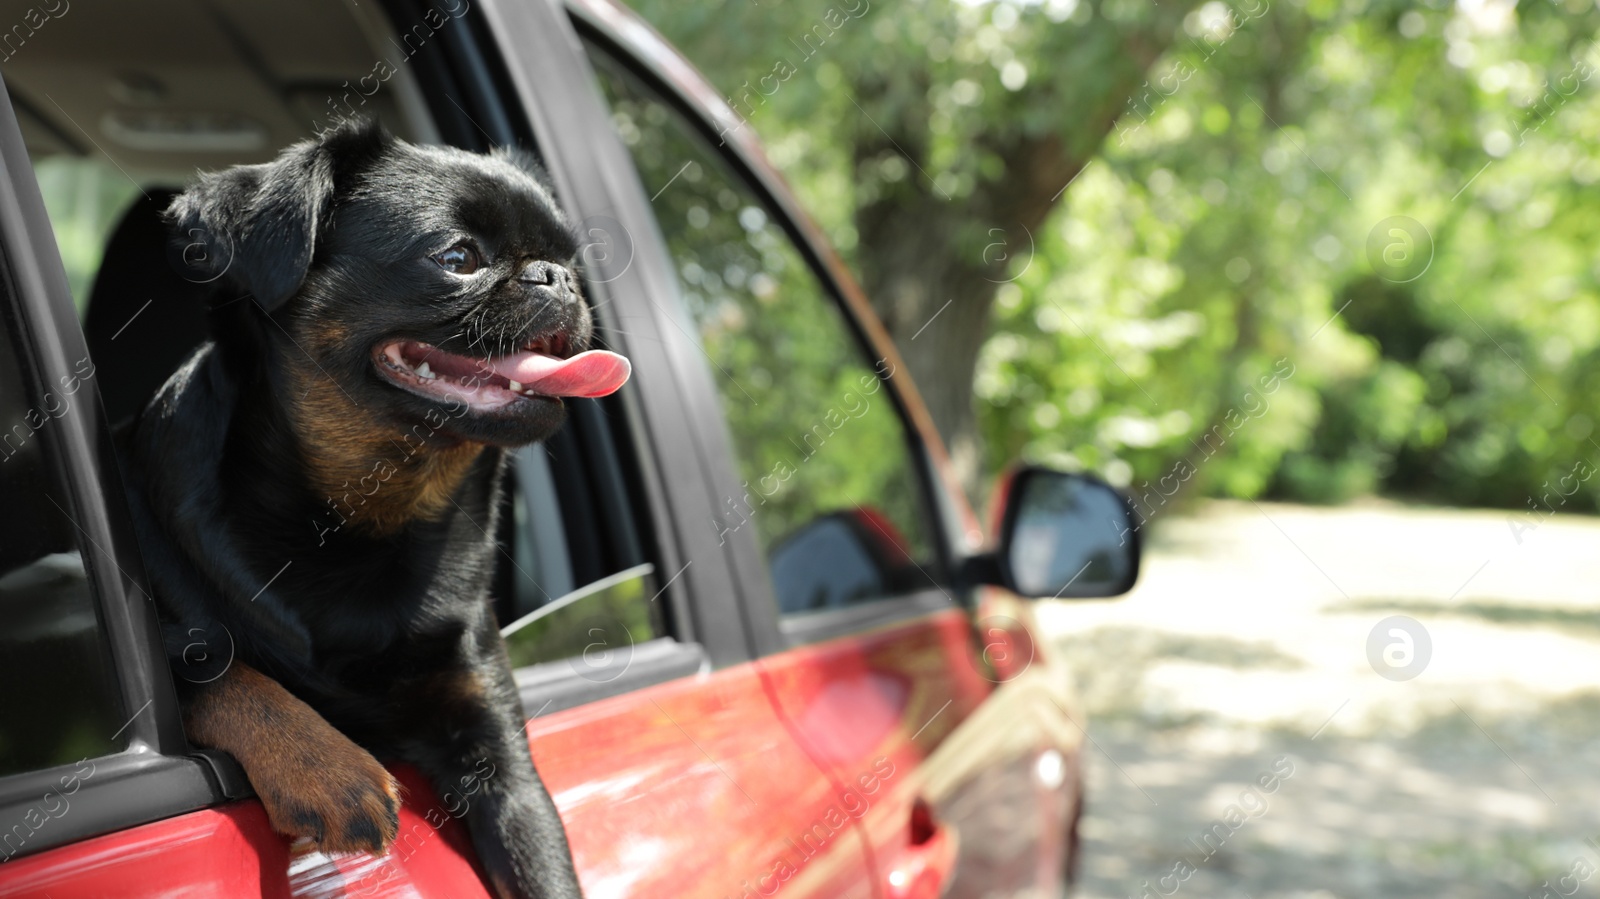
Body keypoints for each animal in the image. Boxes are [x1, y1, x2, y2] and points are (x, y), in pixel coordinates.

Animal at [114, 119, 624, 895]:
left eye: (570, 260)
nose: (557, 276)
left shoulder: (500, 761)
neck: (367, 516)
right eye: (458, 257)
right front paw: (329, 768)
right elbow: (215, 671)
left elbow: (539, 865)